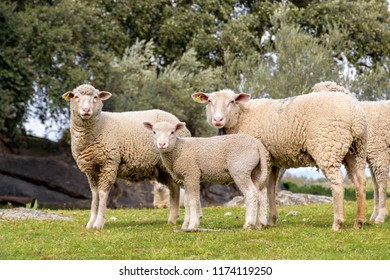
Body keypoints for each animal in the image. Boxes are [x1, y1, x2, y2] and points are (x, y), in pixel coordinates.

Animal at [61, 84, 191, 229]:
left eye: (95, 97)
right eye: (76, 97)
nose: (86, 110)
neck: (99, 125)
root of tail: (178, 121)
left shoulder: (108, 164)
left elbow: (102, 193)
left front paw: (99, 223)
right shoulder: (91, 170)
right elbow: (95, 195)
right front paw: (90, 222)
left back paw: (188, 221)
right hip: (163, 167)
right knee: (174, 188)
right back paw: (172, 219)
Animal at [142, 121, 270, 231]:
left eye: (172, 132)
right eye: (154, 132)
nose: (162, 144)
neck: (178, 149)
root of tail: (258, 144)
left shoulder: (192, 172)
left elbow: (193, 200)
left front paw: (192, 225)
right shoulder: (185, 177)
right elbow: (187, 201)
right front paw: (185, 226)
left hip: (240, 169)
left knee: (251, 193)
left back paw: (249, 224)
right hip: (255, 170)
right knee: (261, 193)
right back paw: (261, 223)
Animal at [190, 89, 368, 230]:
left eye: (232, 101)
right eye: (210, 101)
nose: (217, 120)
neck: (241, 117)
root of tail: (355, 116)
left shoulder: (262, 159)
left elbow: (261, 188)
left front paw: (259, 222)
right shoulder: (272, 158)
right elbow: (271, 188)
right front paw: (271, 220)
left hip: (328, 146)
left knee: (337, 183)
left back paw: (338, 222)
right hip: (356, 151)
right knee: (360, 182)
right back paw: (358, 222)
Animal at [312, 81, 390, 223]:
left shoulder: (379, 153)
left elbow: (381, 184)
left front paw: (381, 215)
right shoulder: (372, 158)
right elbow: (375, 185)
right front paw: (374, 215)